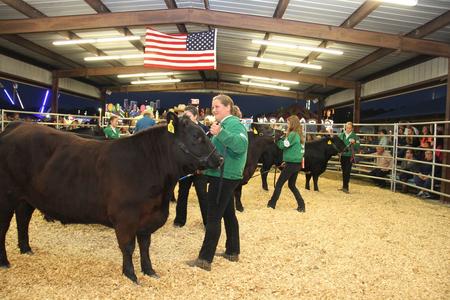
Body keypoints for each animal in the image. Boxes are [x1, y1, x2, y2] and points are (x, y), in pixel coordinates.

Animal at [0, 113, 221, 282]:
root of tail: (17, 126)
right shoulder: (125, 218)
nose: (219, 158)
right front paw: (131, 275)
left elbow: (145, 246)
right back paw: (4, 262)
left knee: (23, 219)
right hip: (7, 196)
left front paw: (149, 271)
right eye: (197, 137)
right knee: (4, 228)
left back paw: (26, 249)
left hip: (26, 197)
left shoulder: (148, 218)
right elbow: (128, 247)